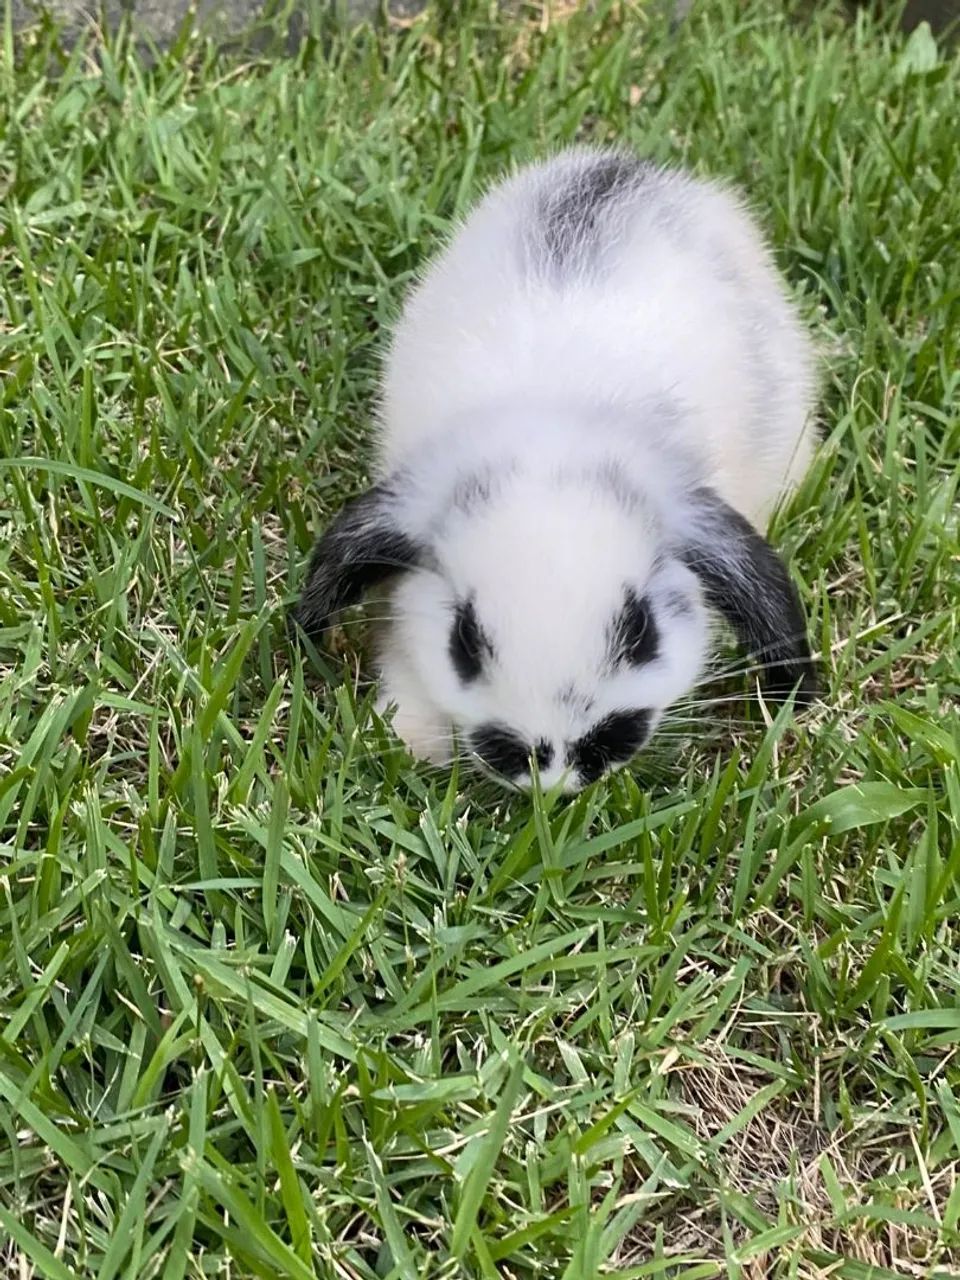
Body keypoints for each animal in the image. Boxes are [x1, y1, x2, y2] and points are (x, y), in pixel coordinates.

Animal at [294, 146, 819, 791]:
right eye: (464, 640)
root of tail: (630, 168)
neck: (555, 425)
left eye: (640, 630)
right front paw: (412, 738)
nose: (557, 768)